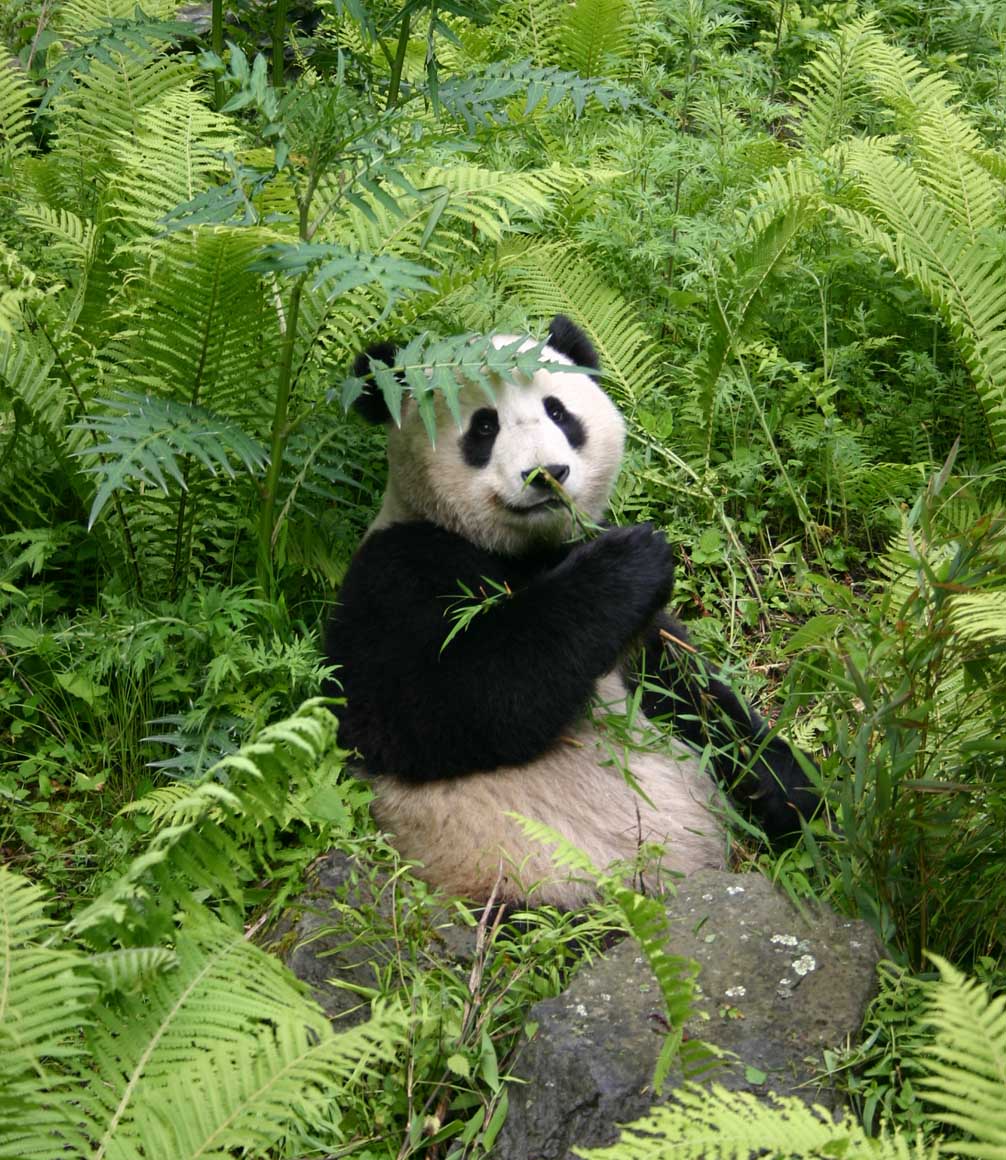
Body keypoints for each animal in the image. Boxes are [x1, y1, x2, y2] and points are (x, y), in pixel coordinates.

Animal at [324, 316, 816, 908]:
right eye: (483, 426)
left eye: (559, 412)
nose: (546, 473)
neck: (527, 550)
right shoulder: (396, 572)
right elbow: (434, 702)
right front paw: (630, 560)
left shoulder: (641, 637)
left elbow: (699, 698)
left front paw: (799, 797)